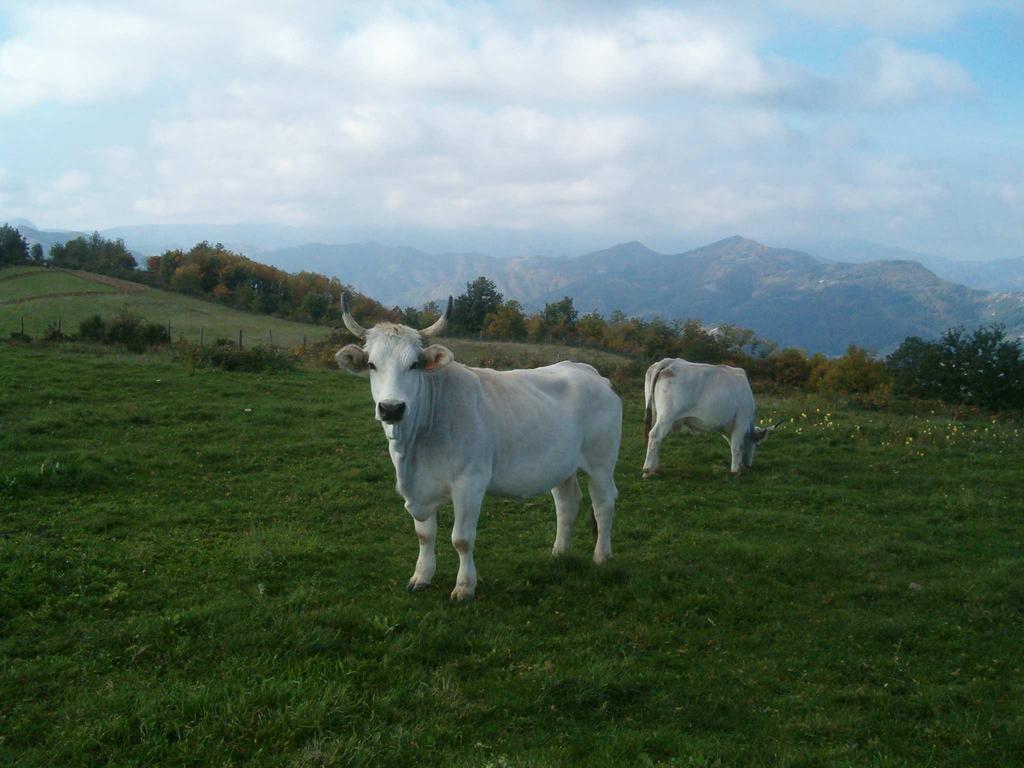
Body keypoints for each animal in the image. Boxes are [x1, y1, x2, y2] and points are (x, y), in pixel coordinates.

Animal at [337, 294, 622, 602]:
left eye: (413, 364)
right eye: (372, 365)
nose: (391, 408)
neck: (414, 452)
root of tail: (588, 371)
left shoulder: (470, 484)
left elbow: (461, 539)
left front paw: (464, 587)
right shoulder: (421, 489)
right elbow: (425, 535)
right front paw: (421, 577)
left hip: (601, 462)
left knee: (603, 504)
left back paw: (602, 556)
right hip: (561, 466)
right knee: (567, 504)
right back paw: (559, 553)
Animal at [638, 360, 774, 479]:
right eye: (757, 444)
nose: (748, 465)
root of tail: (670, 361)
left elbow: (732, 444)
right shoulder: (741, 421)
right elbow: (737, 446)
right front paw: (736, 470)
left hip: (656, 414)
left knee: (654, 439)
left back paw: (655, 469)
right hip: (667, 417)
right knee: (655, 435)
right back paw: (647, 470)